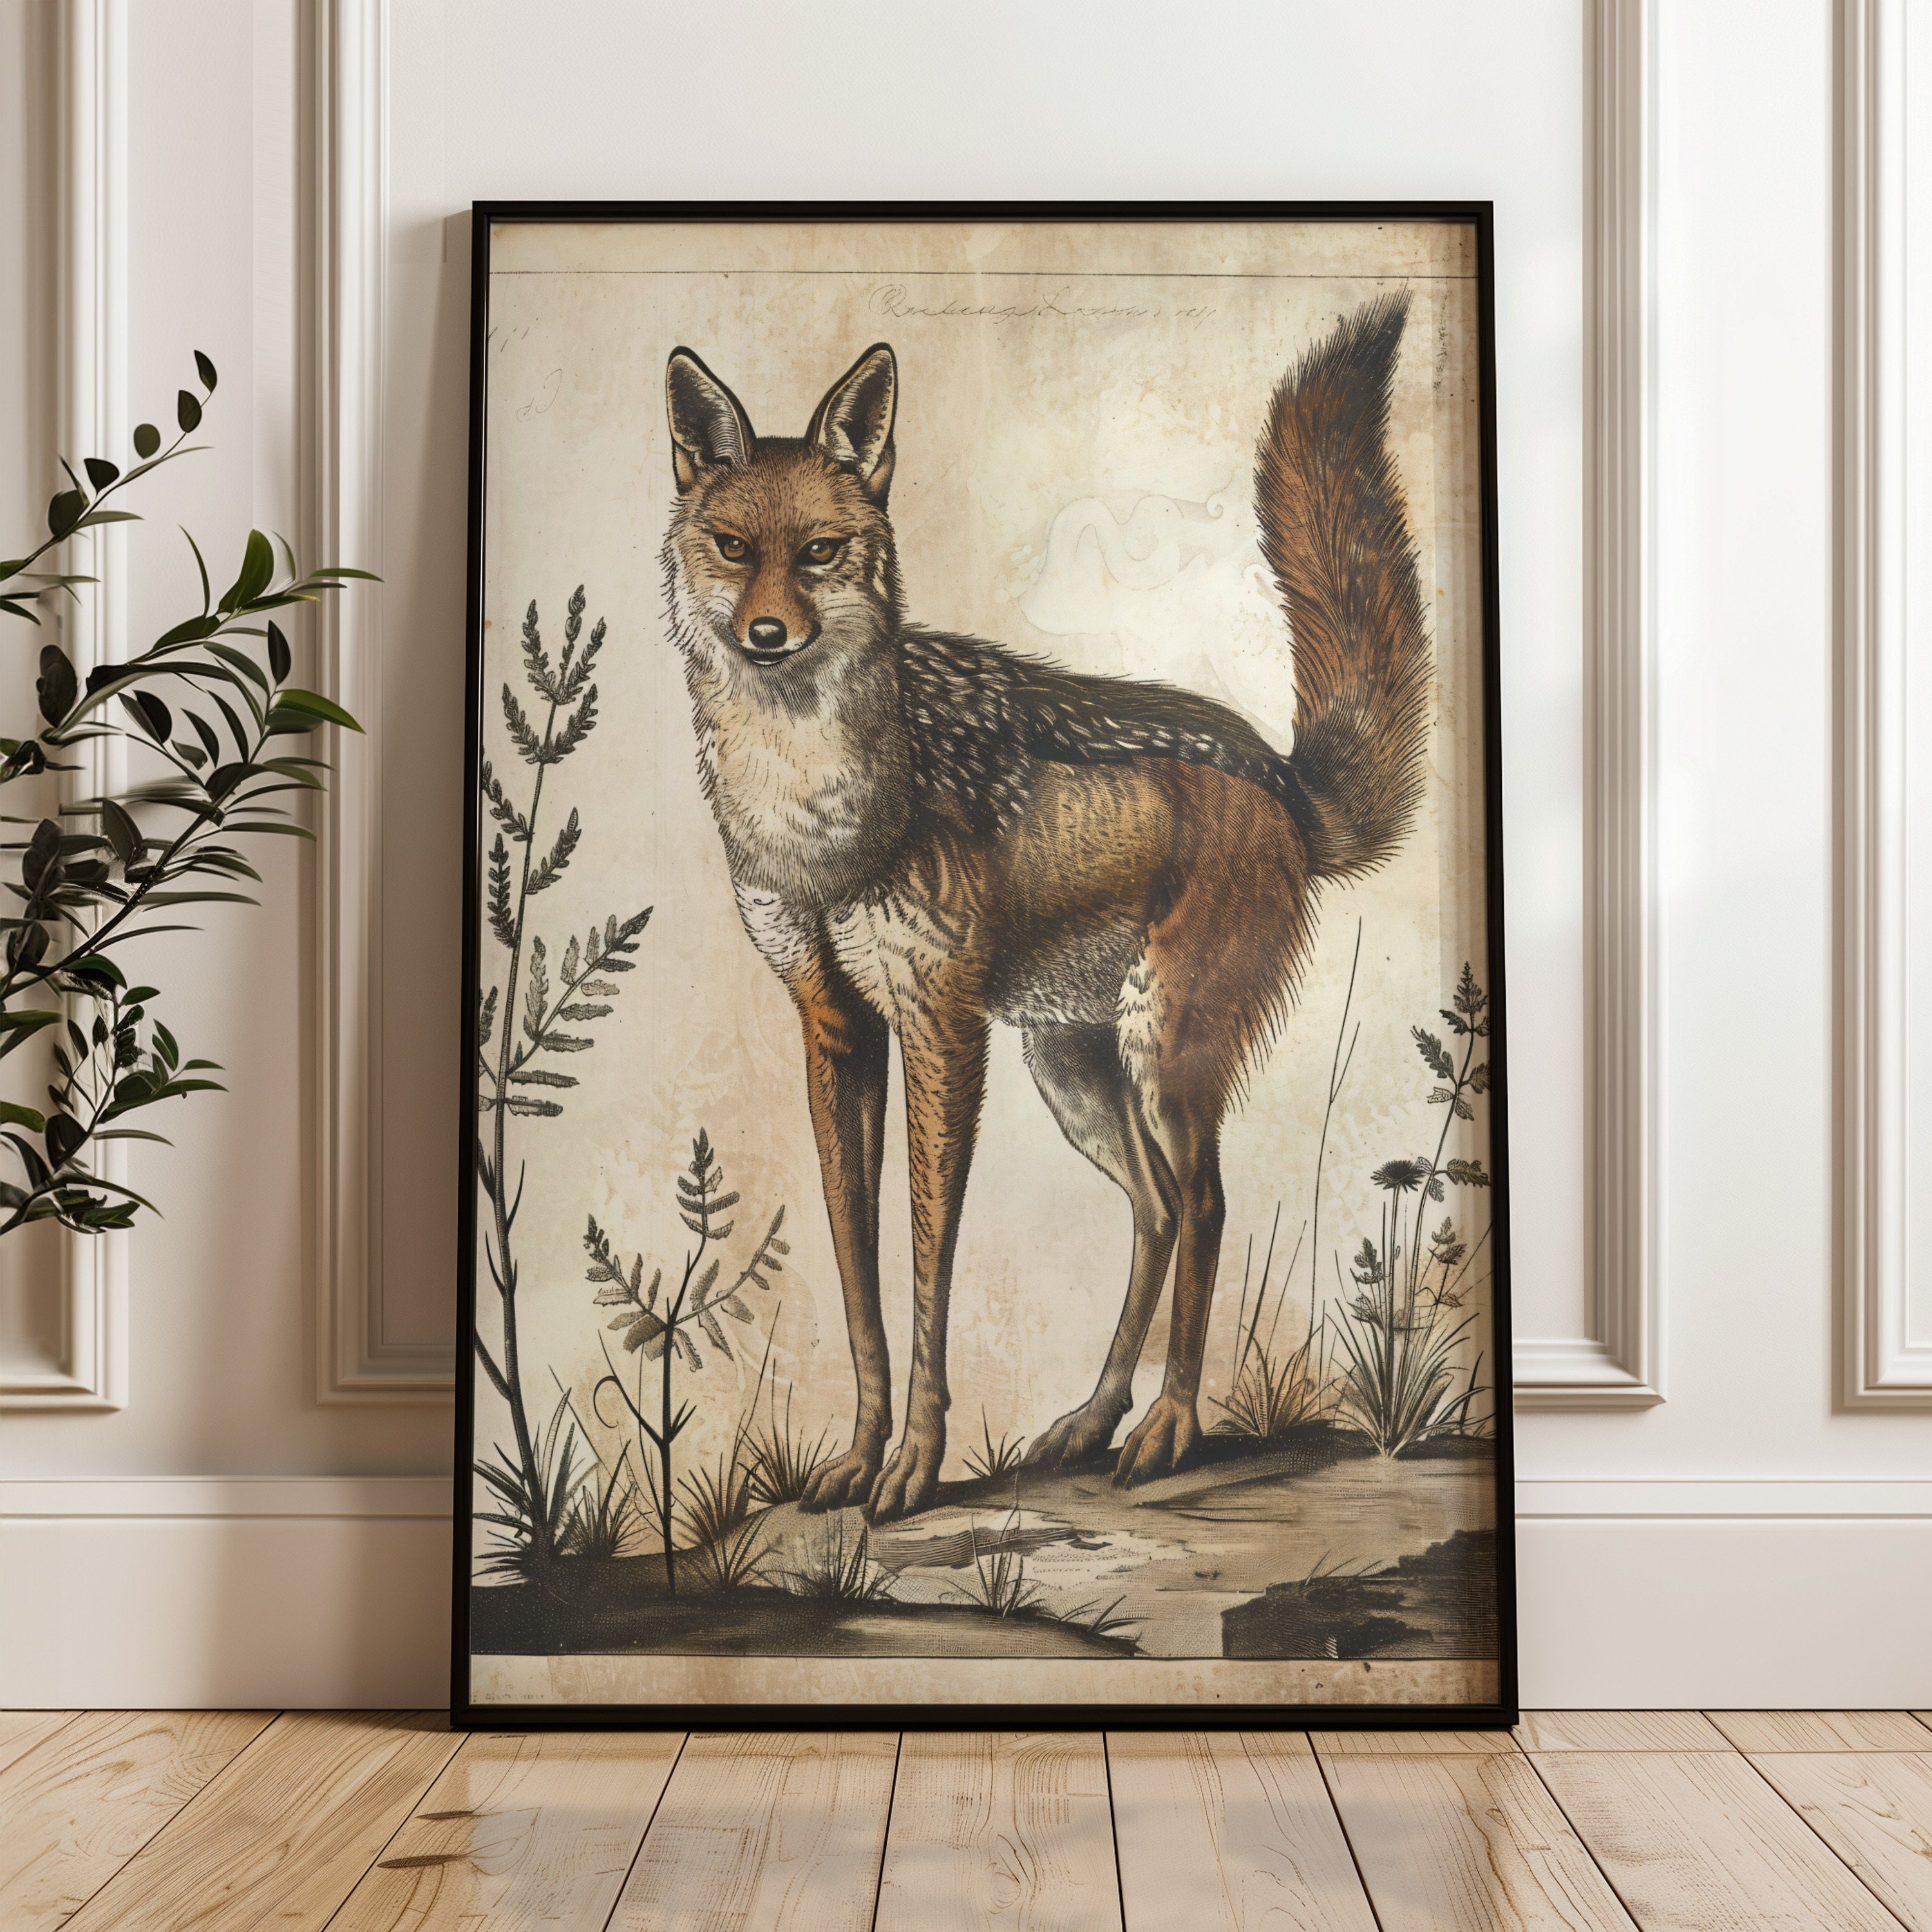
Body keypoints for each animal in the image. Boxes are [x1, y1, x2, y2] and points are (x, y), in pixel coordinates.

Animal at [660, 296, 1431, 1525]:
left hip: (1159, 1062)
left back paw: (1168, 1426)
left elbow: (929, 1267)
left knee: (1207, 1207)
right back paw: (1091, 1419)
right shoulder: (835, 1027)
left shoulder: (943, 1029)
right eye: (735, 548)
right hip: (1073, 1071)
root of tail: (1280, 777)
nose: (766, 636)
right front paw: (860, 1456)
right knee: (1155, 1214)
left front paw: (915, 1466)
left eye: (820, 552)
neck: (822, 826)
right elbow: (858, 1271)